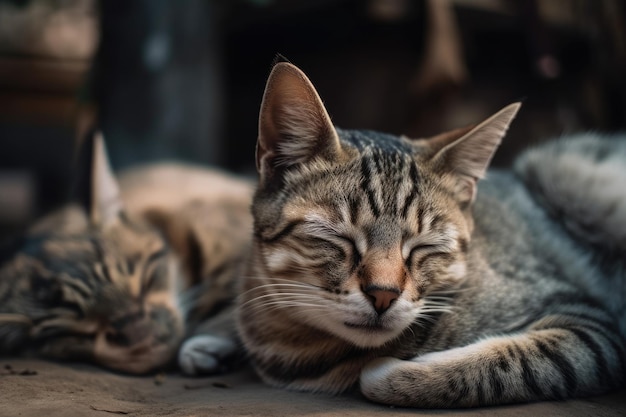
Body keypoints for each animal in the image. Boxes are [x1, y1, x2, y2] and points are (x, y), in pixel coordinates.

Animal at [235, 61, 624, 406]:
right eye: (339, 238)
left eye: (424, 247)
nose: (383, 295)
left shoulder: (587, 321)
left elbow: (520, 363)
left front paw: (393, 373)